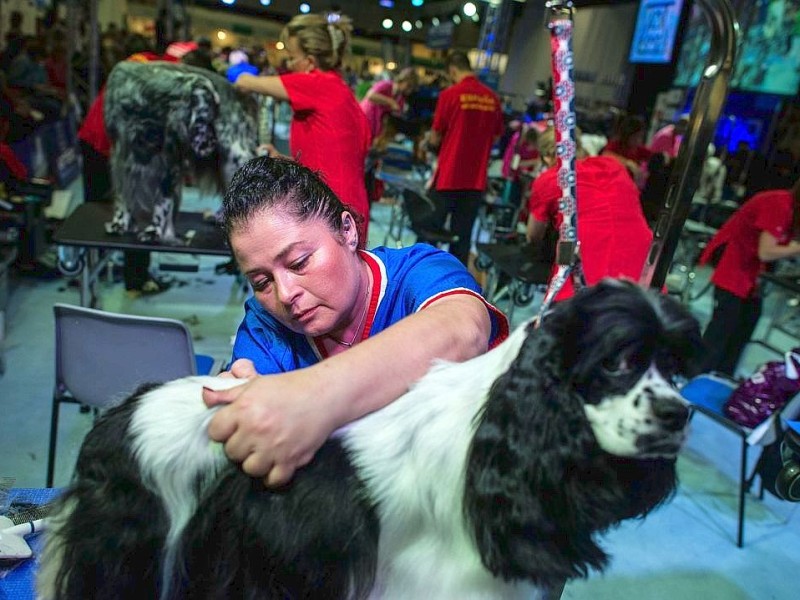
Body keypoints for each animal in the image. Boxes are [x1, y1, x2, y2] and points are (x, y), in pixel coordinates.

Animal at [103, 59, 258, 240]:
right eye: (210, 112)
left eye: (215, 111)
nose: (213, 141)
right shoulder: (121, 156)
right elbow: (124, 195)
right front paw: (120, 222)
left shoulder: (170, 160)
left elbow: (163, 200)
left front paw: (154, 230)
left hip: (236, 156)